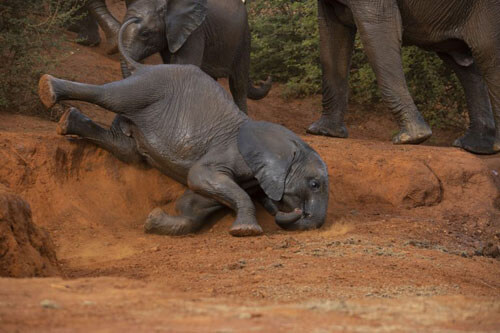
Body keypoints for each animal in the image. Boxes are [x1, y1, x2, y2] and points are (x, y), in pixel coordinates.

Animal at [38, 18, 328, 236]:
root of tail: (142, 66)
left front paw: (153, 221)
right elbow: (198, 177)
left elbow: (195, 204)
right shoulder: (229, 155)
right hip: (150, 86)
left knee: (126, 149)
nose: (299, 212)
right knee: (111, 96)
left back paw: (68, 121)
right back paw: (48, 88)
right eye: (314, 184)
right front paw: (246, 231)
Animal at [308, 0, 500, 154]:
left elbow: (379, 26)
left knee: (487, 54)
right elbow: (332, 32)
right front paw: (324, 132)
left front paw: (412, 138)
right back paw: (476, 146)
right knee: (467, 67)